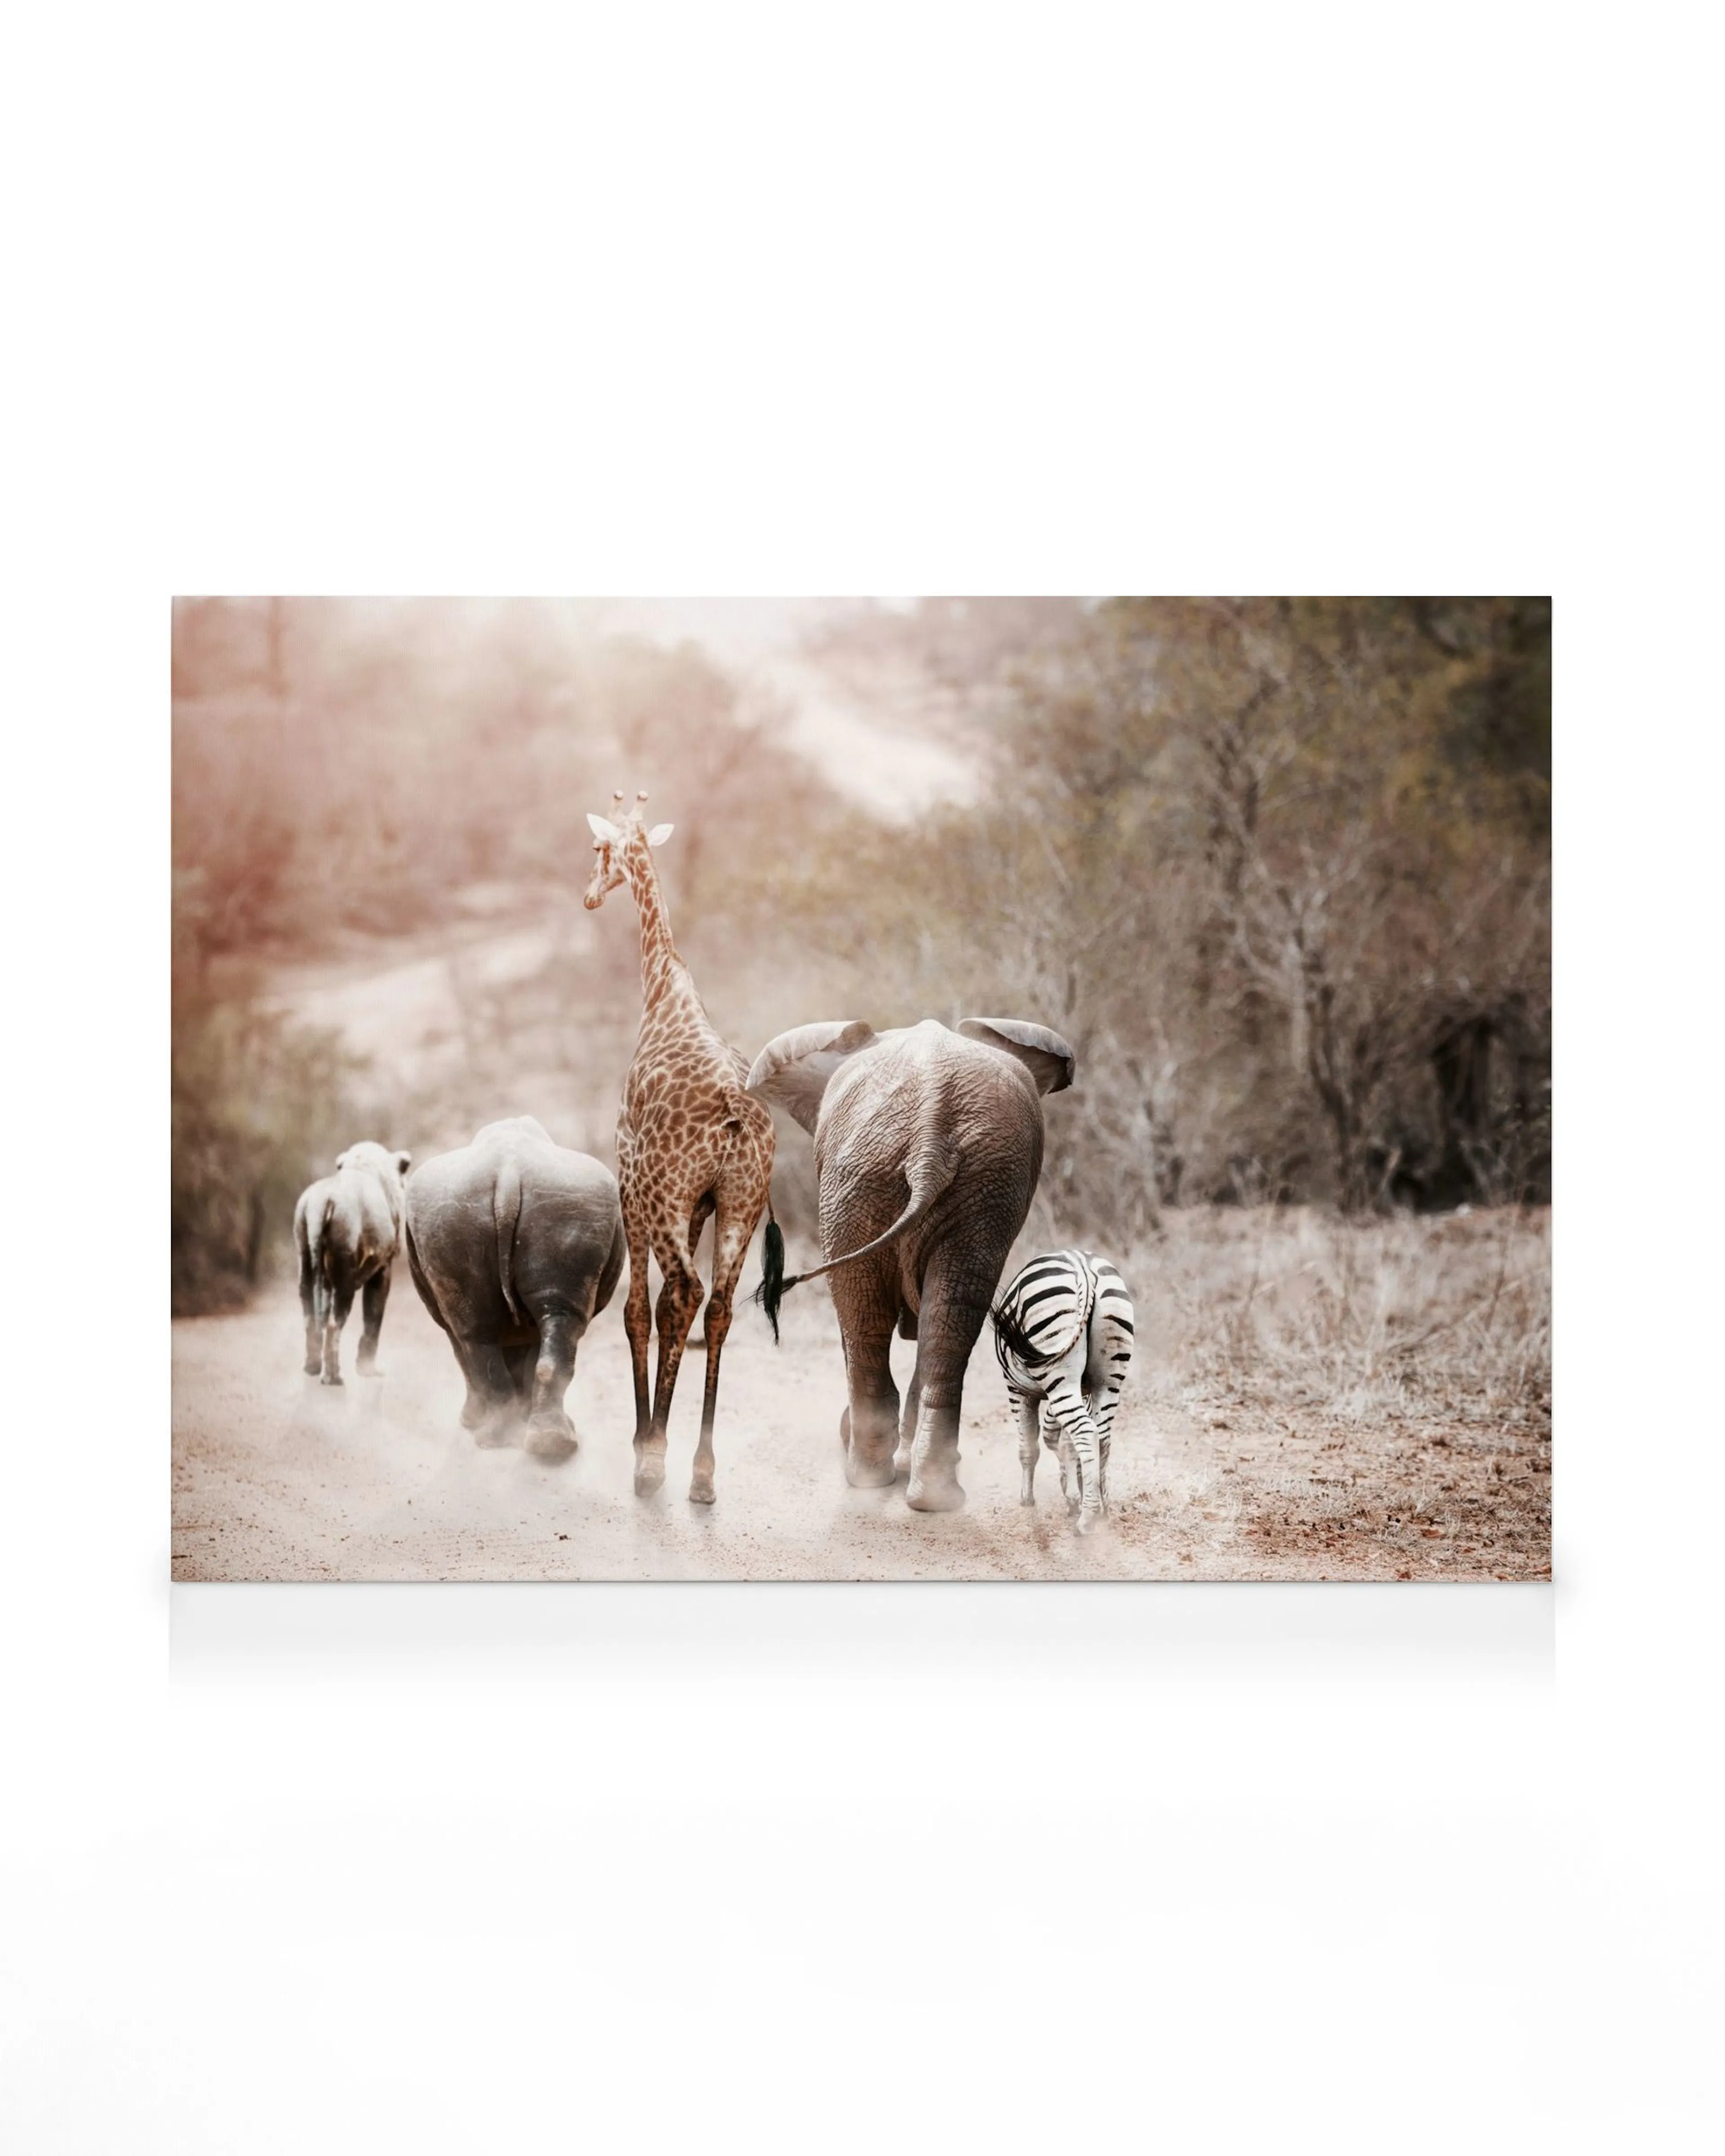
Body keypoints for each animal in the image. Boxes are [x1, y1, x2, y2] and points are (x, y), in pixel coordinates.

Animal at [583, 791, 779, 1504]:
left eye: (599, 849)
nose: (589, 896)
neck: (663, 986)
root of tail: (734, 1118)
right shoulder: (699, 1204)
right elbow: (669, 1310)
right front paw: (658, 1440)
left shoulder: (631, 1181)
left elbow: (640, 1310)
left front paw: (644, 1442)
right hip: (742, 1203)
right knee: (717, 1306)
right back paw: (702, 1471)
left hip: (669, 1197)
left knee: (688, 1295)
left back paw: (657, 1463)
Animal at [991, 1249, 1134, 1534]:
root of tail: (1084, 1267)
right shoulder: (1082, 1391)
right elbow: (1065, 1444)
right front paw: (1074, 1495)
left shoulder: (1018, 1390)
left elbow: (1029, 1447)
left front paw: (1028, 1500)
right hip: (1109, 1375)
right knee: (1101, 1436)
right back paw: (1101, 1509)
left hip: (1058, 1369)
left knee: (1086, 1432)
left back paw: (1087, 1521)